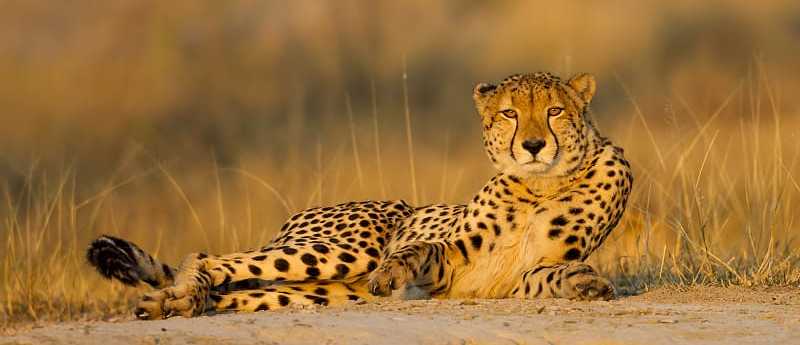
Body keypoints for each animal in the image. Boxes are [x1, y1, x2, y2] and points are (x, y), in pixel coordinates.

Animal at [87, 71, 636, 318]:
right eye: (509, 113)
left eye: (555, 111)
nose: (534, 145)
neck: (542, 184)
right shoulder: (448, 262)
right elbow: (418, 250)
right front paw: (395, 271)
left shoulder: (511, 280)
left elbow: (550, 273)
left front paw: (586, 283)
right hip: (342, 252)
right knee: (207, 257)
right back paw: (180, 295)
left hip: (314, 291)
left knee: (232, 293)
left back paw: (173, 302)